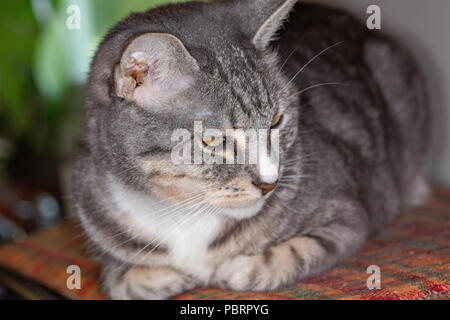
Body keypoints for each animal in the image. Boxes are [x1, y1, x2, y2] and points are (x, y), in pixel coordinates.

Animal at [72, 0, 430, 300]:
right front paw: (171, 276)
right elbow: (120, 282)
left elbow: (296, 252)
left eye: (276, 121)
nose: (269, 183)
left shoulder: (347, 214)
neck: (183, 214)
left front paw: (233, 269)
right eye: (212, 140)